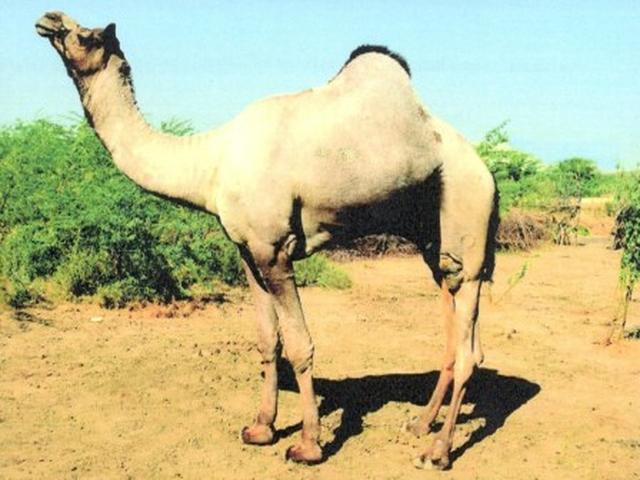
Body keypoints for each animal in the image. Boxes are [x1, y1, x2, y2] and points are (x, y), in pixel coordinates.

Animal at [36, 11, 497, 469]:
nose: (49, 19)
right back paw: (419, 425)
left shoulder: (274, 250)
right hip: (434, 241)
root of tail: (487, 171)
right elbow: (267, 339)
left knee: (468, 346)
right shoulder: (246, 250)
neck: (212, 163)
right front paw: (260, 428)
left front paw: (308, 444)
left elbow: (299, 344)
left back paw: (436, 452)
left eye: (85, 35)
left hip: (469, 221)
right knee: (454, 323)